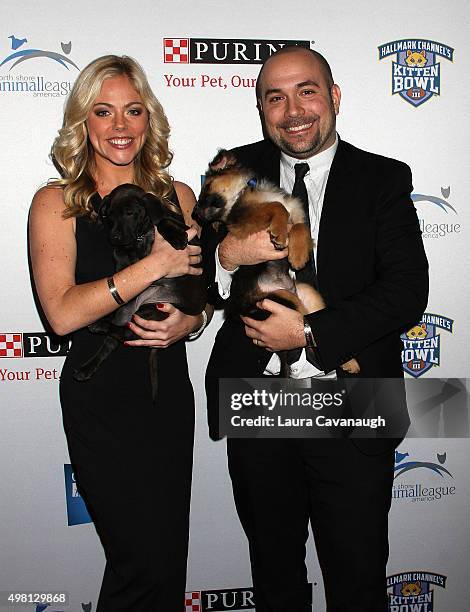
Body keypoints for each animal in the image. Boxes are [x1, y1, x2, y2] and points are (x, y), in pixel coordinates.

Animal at [73, 183, 206, 392]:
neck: (141, 237)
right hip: (132, 311)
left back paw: (99, 327)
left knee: (123, 333)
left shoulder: (180, 229)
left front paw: (175, 236)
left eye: (129, 213)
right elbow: (122, 255)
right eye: (109, 215)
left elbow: (164, 221)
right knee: (117, 336)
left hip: (153, 310)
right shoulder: (125, 249)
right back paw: (88, 363)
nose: (114, 237)